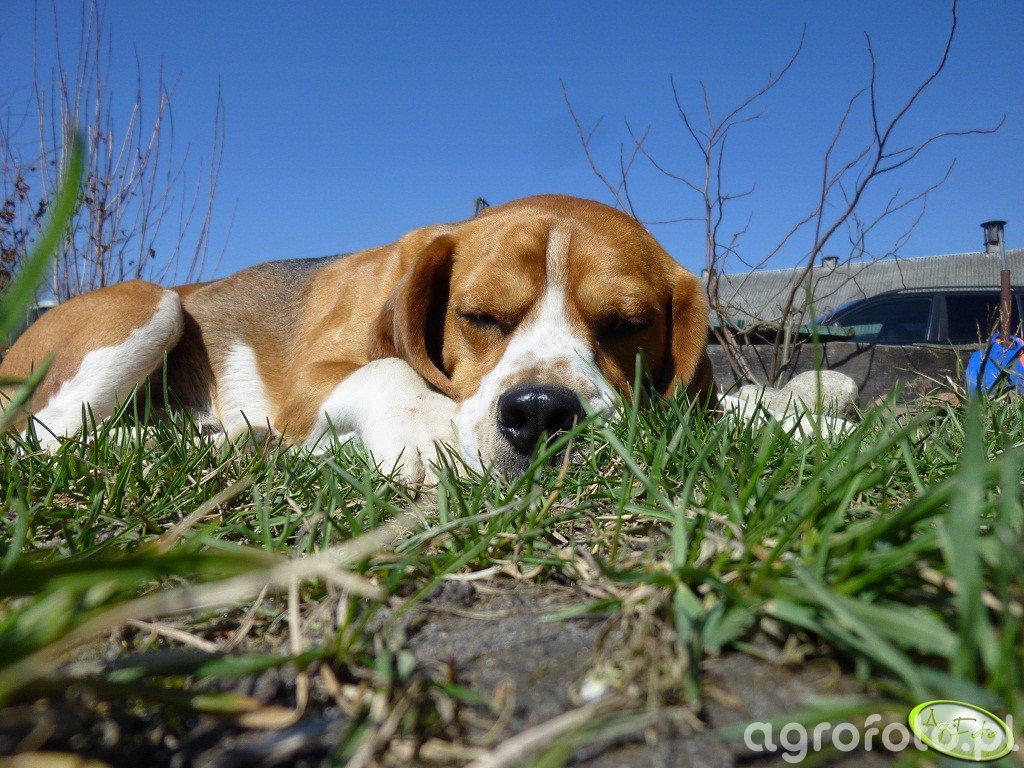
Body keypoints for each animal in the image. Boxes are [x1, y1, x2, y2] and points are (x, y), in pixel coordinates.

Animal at [1, 195, 715, 479]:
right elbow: (389, 368)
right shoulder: (308, 383)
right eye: (480, 316)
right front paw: (430, 436)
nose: (540, 412)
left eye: (627, 325)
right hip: (150, 303)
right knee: (49, 435)